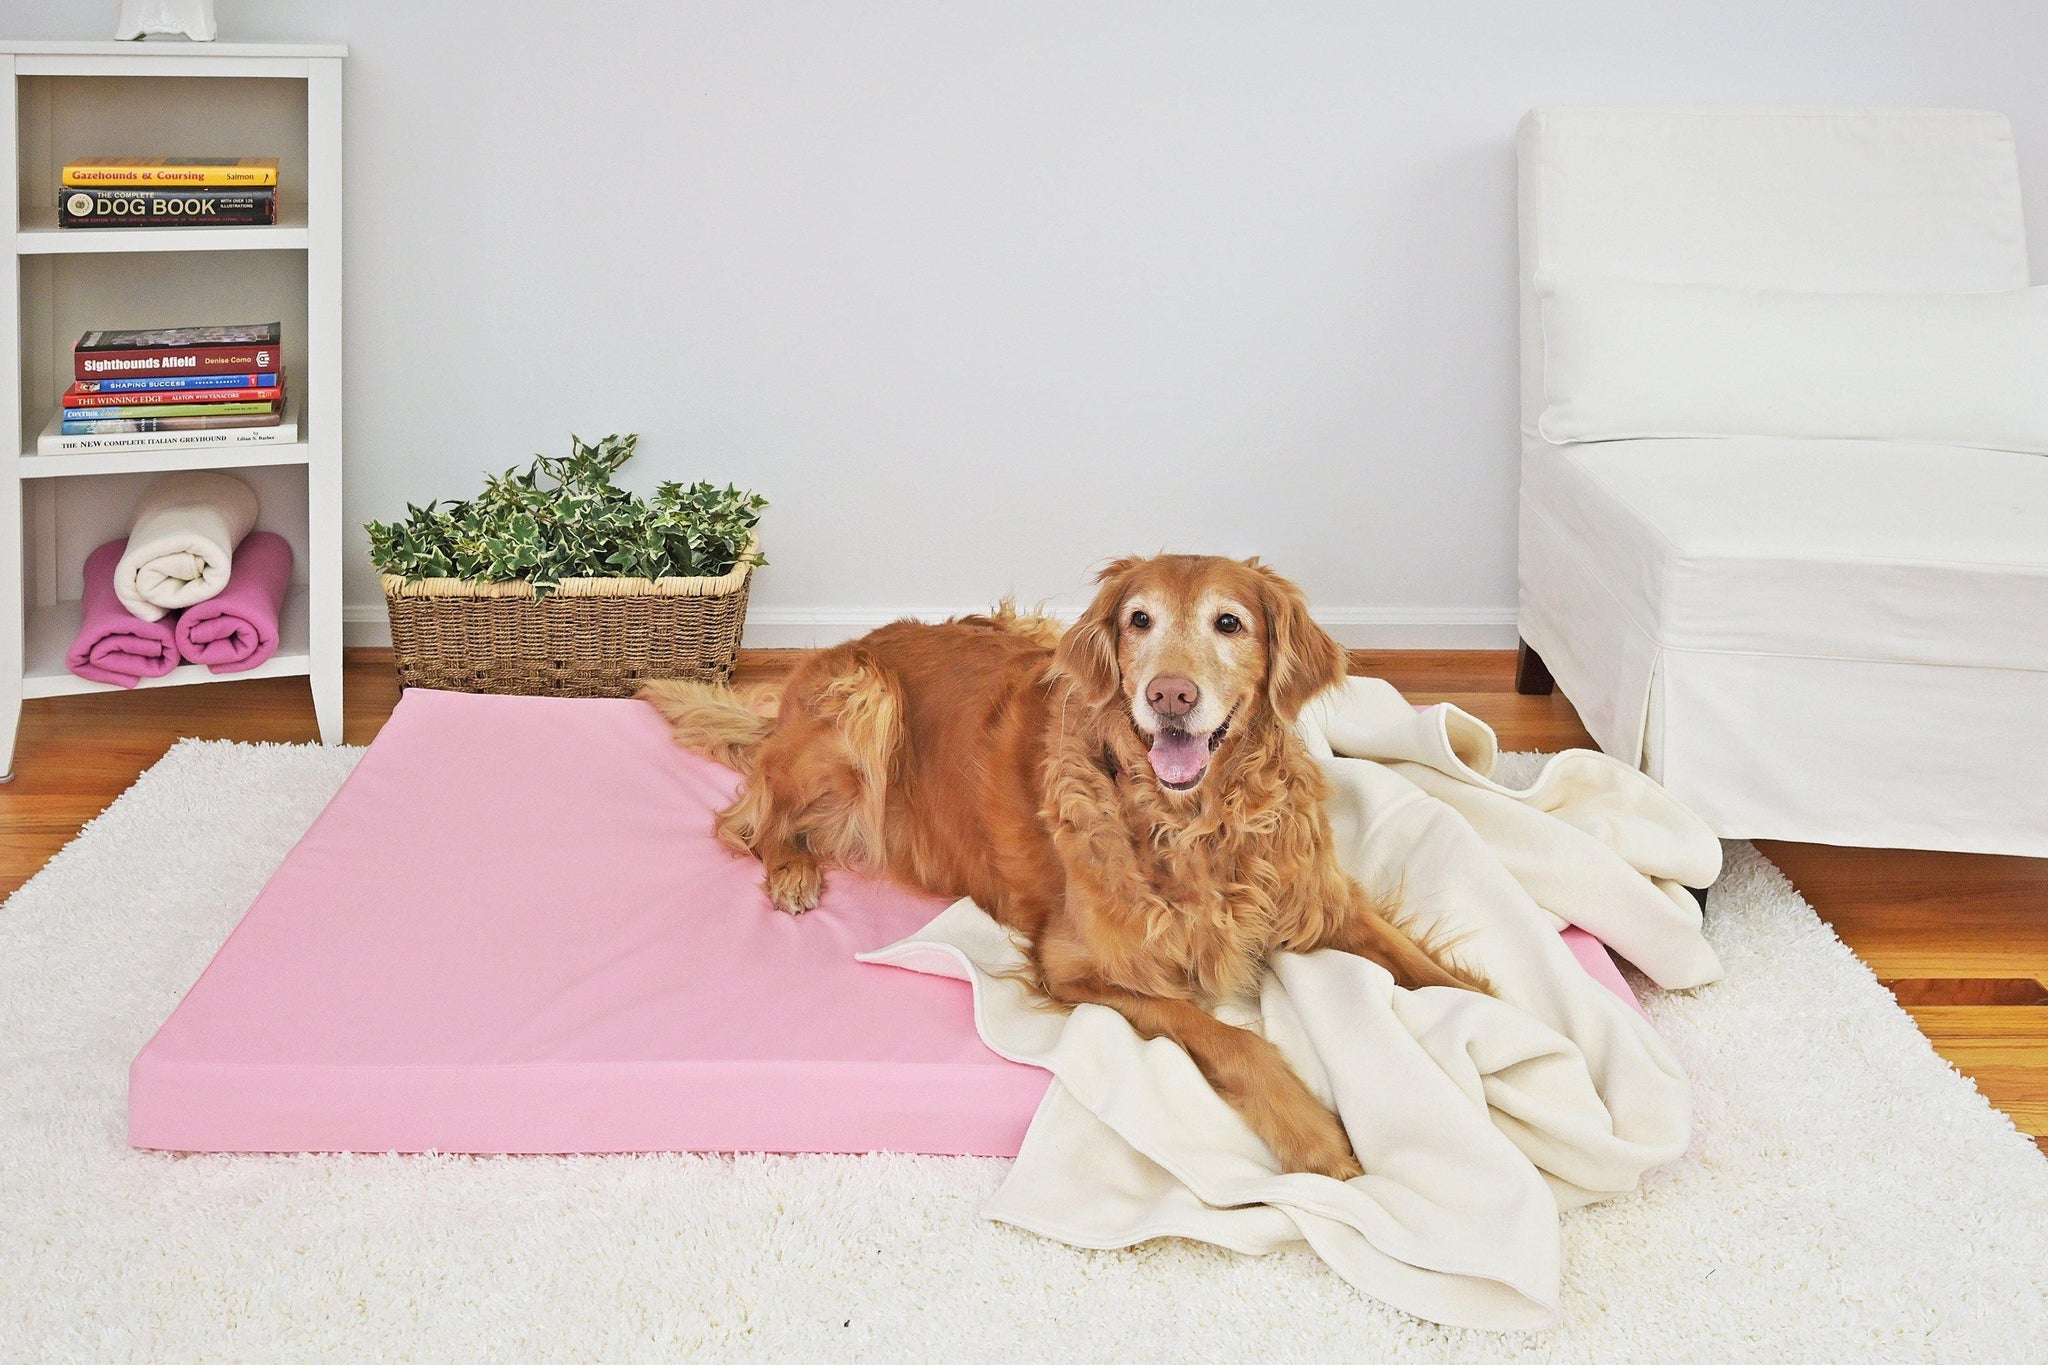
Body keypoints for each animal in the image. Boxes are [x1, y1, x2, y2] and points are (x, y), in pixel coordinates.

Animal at [647, 560, 1482, 1178]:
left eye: (1230, 622)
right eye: (1139, 620)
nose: (1169, 693)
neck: (1197, 825)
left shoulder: (1321, 899)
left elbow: (1427, 969)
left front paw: (1491, 1020)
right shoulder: (1080, 967)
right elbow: (1229, 1037)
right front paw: (1315, 1136)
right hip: (864, 700)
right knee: (749, 816)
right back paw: (792, 870)